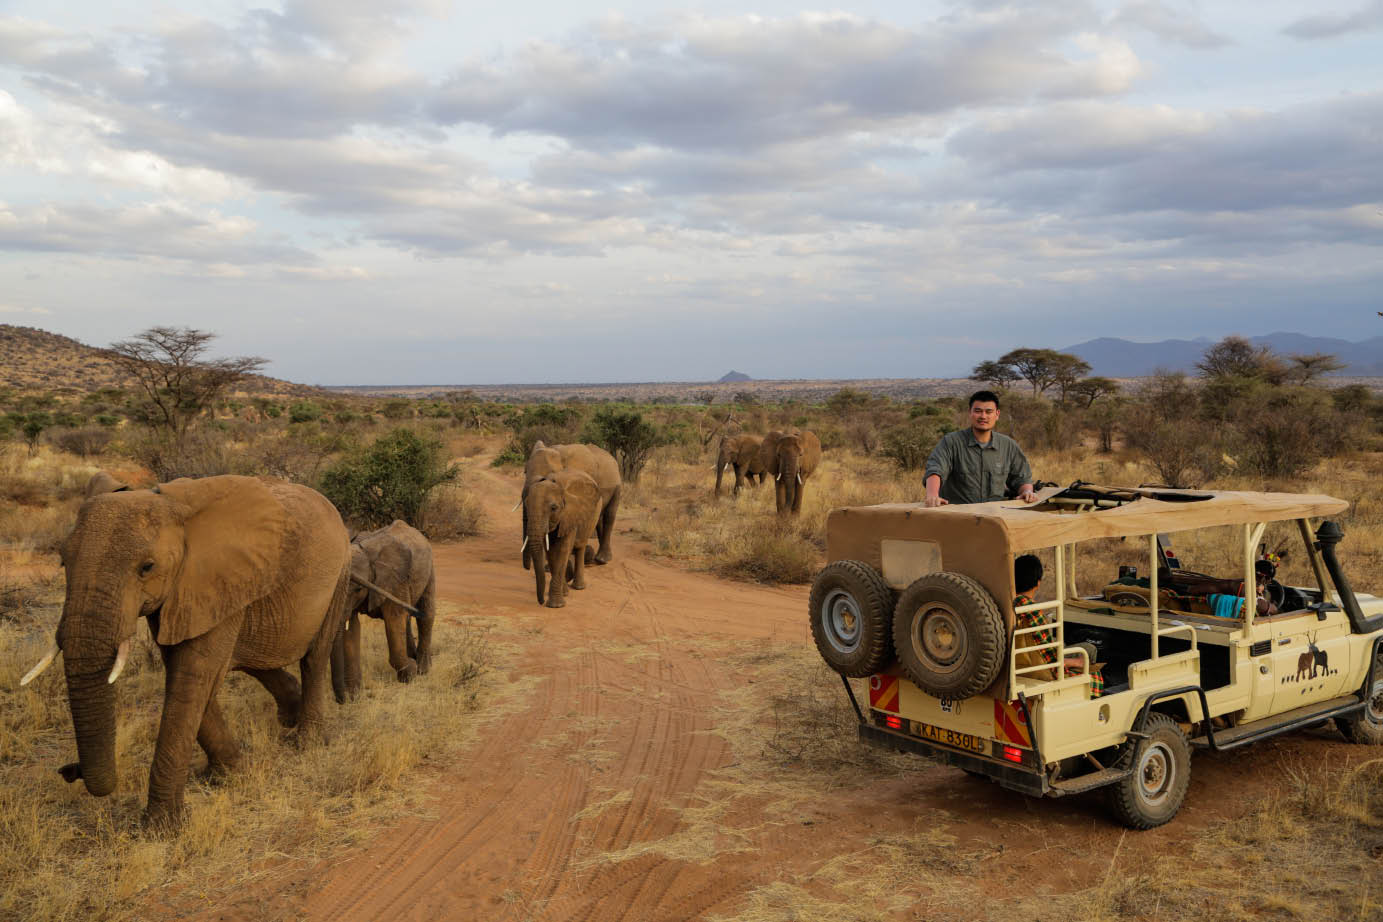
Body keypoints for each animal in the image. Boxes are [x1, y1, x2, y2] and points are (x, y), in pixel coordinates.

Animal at [21, 475, 351, 829]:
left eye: (147, 567)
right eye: (63, 561)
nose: (69, 771)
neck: (171, 507)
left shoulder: (214, 579)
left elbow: (191, 675)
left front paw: (163, 827)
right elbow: (184, 671)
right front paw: (231, 773)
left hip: (339, 574)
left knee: (314, 655)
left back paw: (307, 741)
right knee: (250, 656)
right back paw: (289, 712)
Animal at [331, 519, 434, 699]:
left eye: (358, 589)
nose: (344, 698)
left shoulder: (394, 581)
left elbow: (394, 620)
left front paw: (410, 674)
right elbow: (352, 629)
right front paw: (354, 694)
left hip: (429, 568)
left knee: (425, 614)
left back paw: (422, 669)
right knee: (407, 619)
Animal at [522, 472, 600, 608]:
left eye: (553, 508)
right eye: (526, 504)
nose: (541, 601)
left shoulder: (570, 516)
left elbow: (562, 550)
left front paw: (556, 605)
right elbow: (551, 553)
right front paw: (562, 596)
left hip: (592, 517)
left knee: (580, 547)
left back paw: (579, 587)